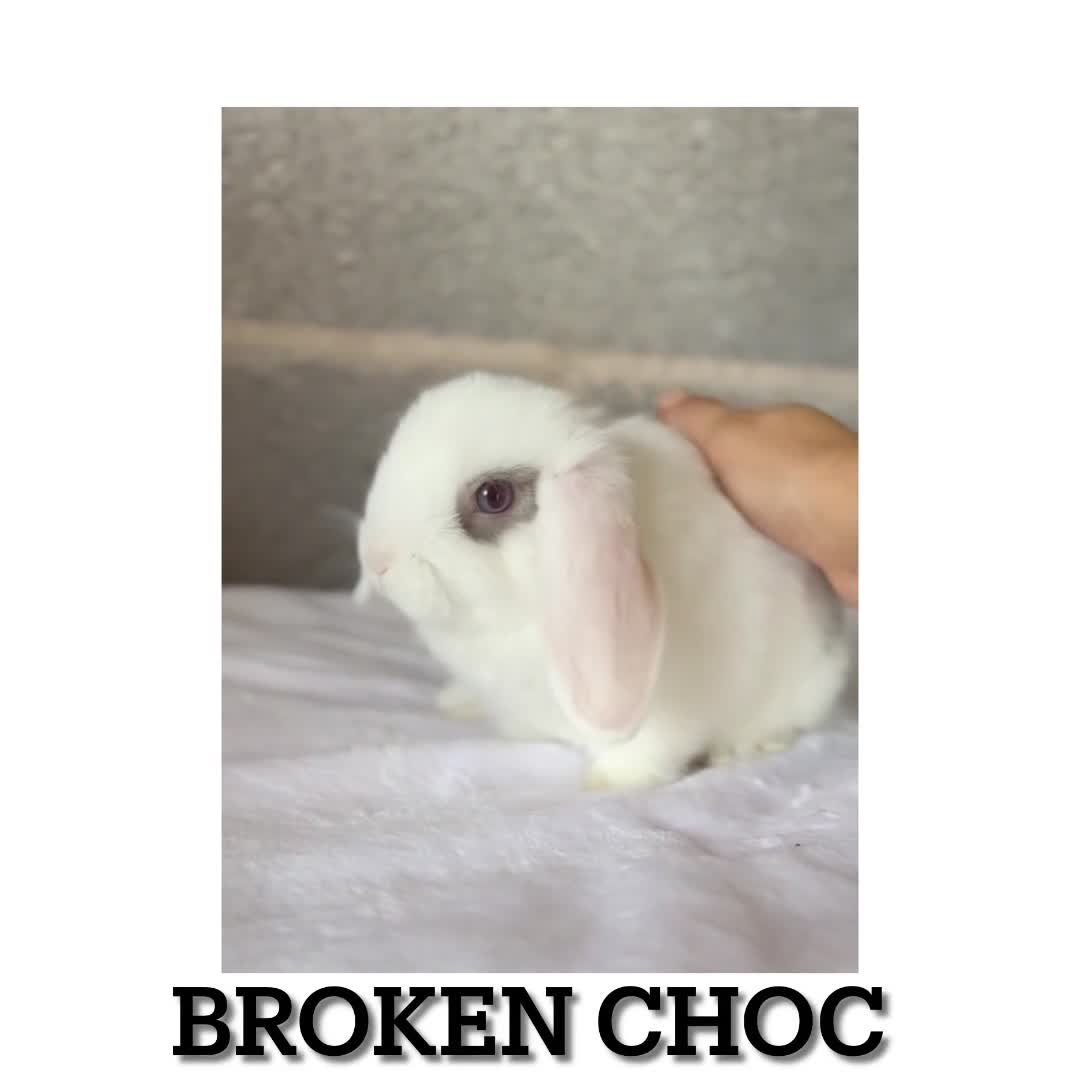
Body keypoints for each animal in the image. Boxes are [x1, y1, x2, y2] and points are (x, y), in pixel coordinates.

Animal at [353, 370, 854, 792]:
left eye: (493, 496)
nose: (378, 560)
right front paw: (459, 701)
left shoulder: (670, 708)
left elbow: (649, 746)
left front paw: (607, 783)